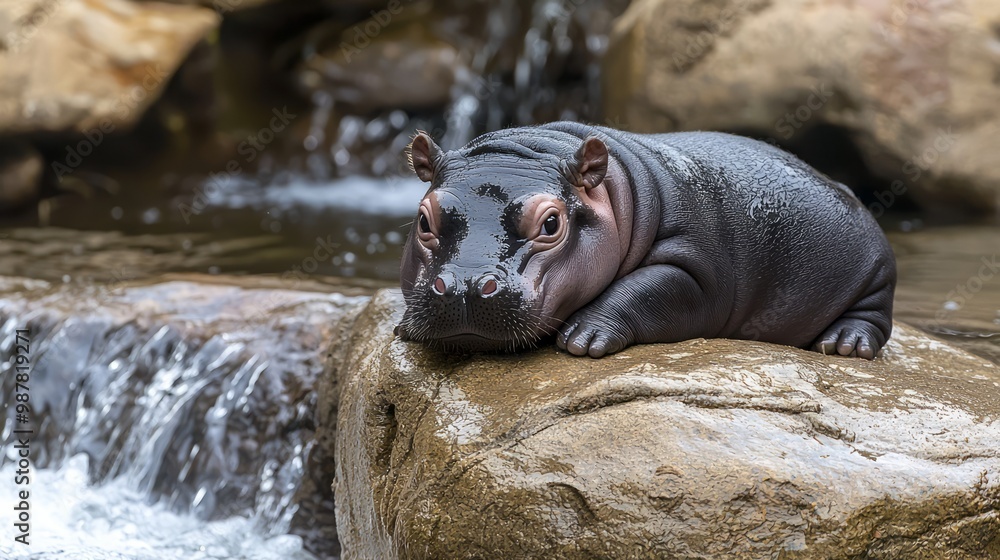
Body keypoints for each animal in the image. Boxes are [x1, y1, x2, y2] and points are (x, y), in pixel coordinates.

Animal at [396, 122, 896, 359]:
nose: (464, 285)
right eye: (423, 219)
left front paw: (583, 338)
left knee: (873, 316)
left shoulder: (697, 271)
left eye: (551, 224)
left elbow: (645, 289)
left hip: (876, 275)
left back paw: (844, 344)